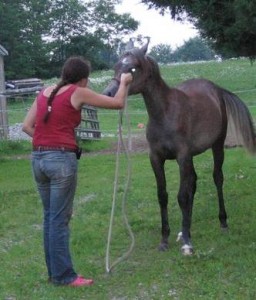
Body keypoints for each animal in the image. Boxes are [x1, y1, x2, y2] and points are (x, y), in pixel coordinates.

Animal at [102, 40, 256, 255]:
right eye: (116, 66)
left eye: (133, 68)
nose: (108, 94)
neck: (165, 113)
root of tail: (216, 88)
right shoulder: (156, 158)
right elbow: (163, 196)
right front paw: (166, 238)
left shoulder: (182, 157)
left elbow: (182, 196)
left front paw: (186, 243)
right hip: (192, 156)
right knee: (193, 183)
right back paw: (186, 229)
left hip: (217, 146)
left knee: (217, 178)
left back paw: (222, 222)